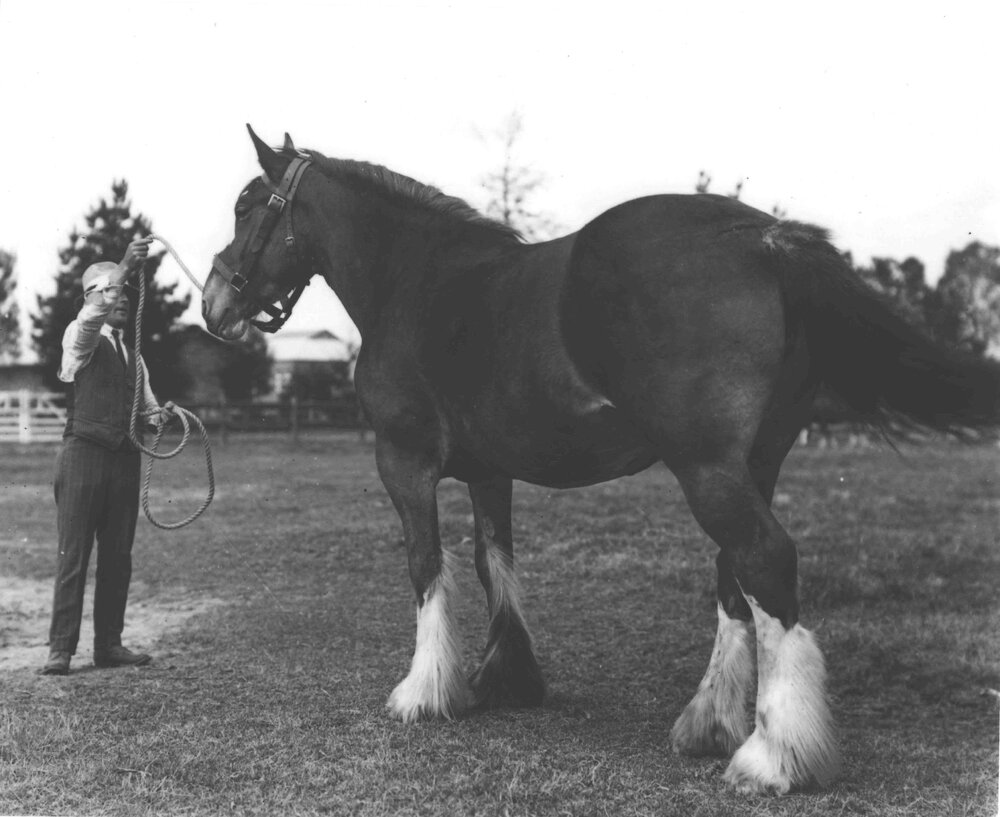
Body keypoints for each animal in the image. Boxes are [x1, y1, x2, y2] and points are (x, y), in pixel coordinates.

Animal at [202, 126, 1000, 795]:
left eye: (246, 206)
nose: (214, 300)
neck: (421, 283)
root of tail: (763, 235)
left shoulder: (404, 463)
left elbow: (427, 567)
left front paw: (423, 693)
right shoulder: (490, 472)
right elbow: (494, 560)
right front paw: (508, 679)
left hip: (707, 468)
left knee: (766, 563)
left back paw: (774, 756)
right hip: (755, 462)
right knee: (736, 575)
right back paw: (711, 722)